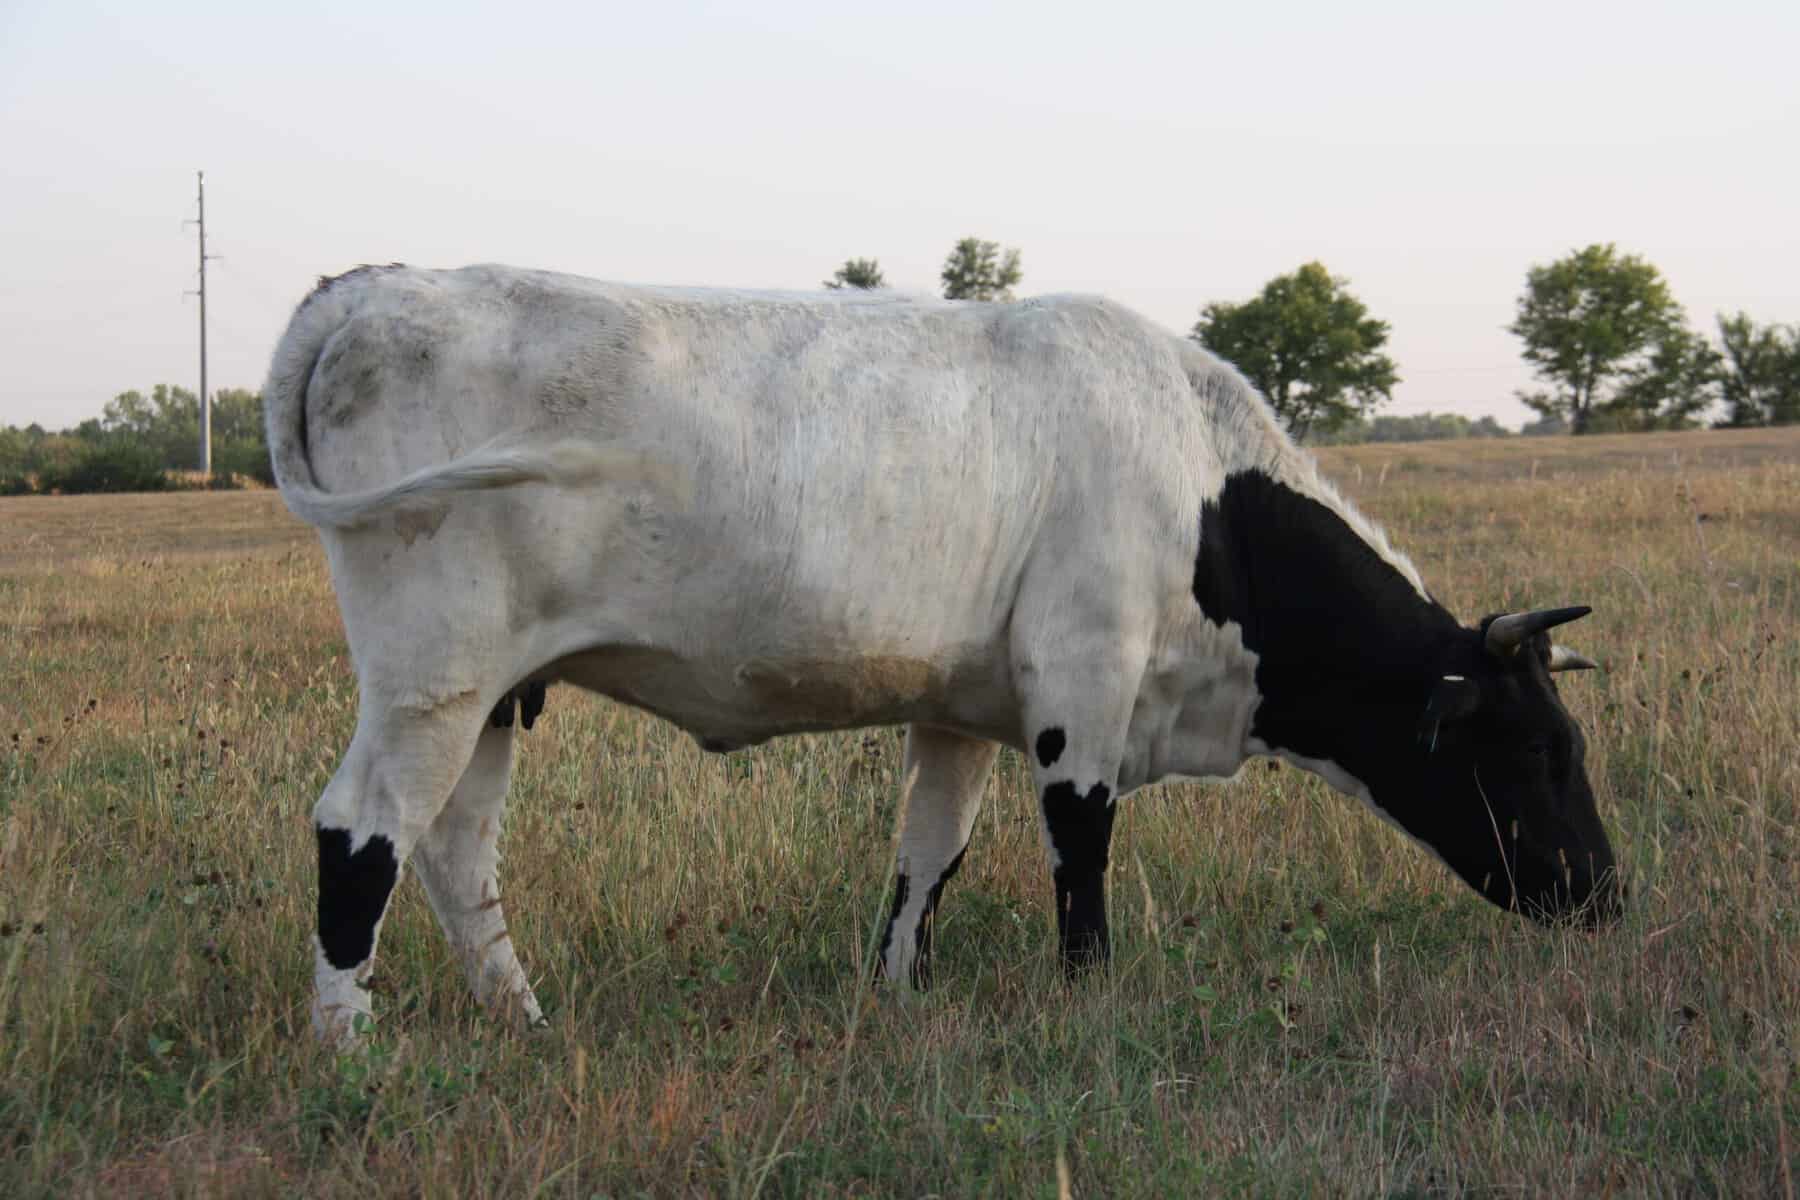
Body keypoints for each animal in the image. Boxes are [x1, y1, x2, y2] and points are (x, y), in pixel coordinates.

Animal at [262, 262, 1620, 1043]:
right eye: (1538, 752)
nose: (1607, 895)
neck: (1201, 486)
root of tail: (378, 284)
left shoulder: (961, 708)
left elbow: (929, 855)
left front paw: (897, 994)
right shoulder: (1083, 681)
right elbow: (1080, 849)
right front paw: (1088, 997)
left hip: (491, 693)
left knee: (454, 849)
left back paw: (525, 1022)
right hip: (430, 676)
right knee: (363, 829)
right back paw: (346, 1050)